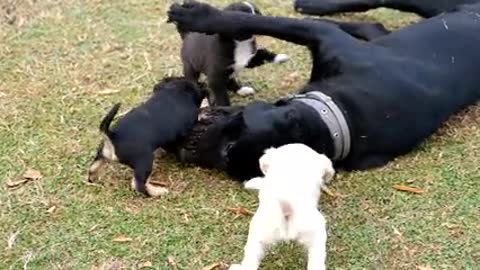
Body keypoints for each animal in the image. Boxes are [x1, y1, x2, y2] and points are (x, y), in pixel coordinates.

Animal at [168, 1, 480, 181]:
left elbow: (251, 21)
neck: (336, 117)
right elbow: (259, 21)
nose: (184, 144)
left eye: (228, 152)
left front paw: (196, 16)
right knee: (374, 23)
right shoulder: (322, 38)